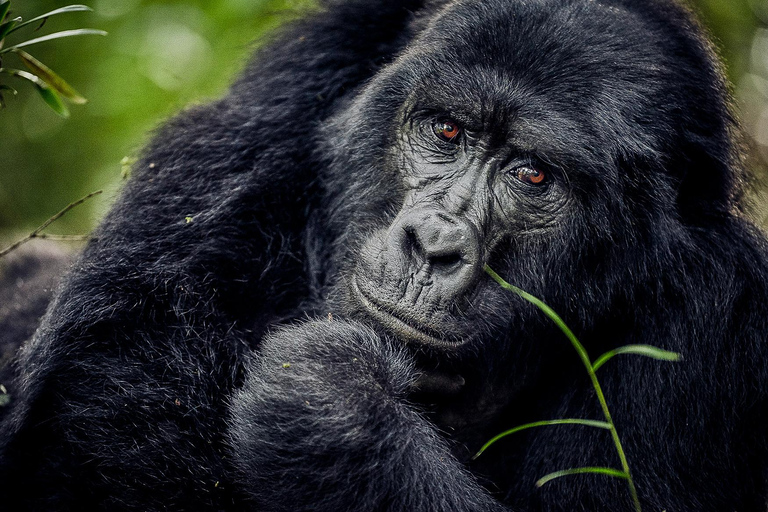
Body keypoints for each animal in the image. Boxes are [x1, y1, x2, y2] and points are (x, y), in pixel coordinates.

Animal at [1, 0, 768, 510]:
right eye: (446, 130)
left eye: (532, 175)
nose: (434, 245)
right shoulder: (253, 127)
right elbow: (119, 396)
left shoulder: (711, 322)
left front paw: (338, 404)